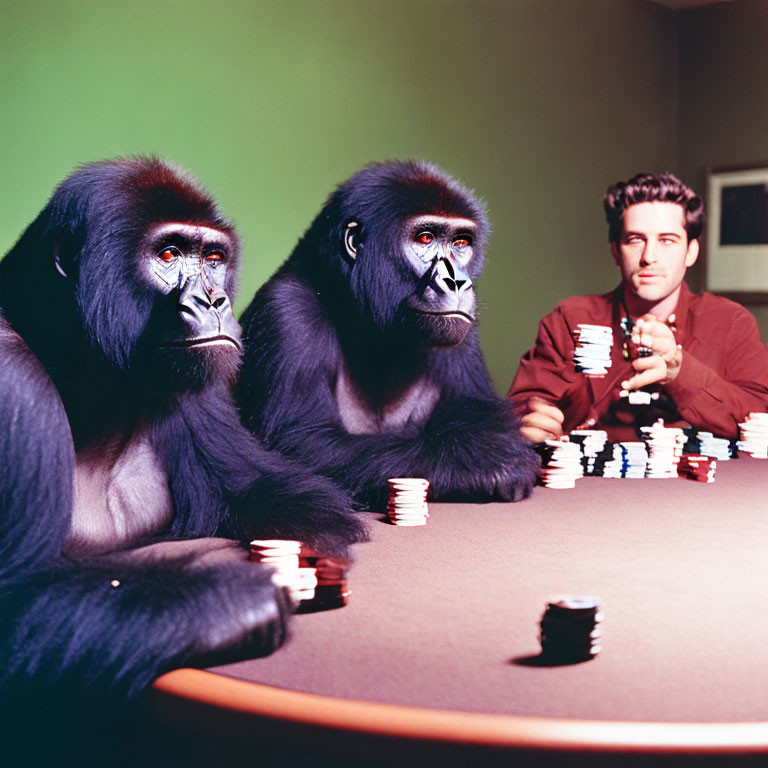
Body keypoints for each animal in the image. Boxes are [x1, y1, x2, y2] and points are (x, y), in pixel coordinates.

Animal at [0, 159, 366, 764]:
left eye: (213, 258)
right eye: (169, 254)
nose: (214, 301)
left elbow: (274, 489)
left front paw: (318, 549)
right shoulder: (12, 380)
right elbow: (14, 601)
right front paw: (232, 601)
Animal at [240, 160, 540, 510]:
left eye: (461, 244)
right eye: (425, 238)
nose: (457, 281)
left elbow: (476, 408)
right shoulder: (287, 310)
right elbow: (302, 442)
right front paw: (484, 461)